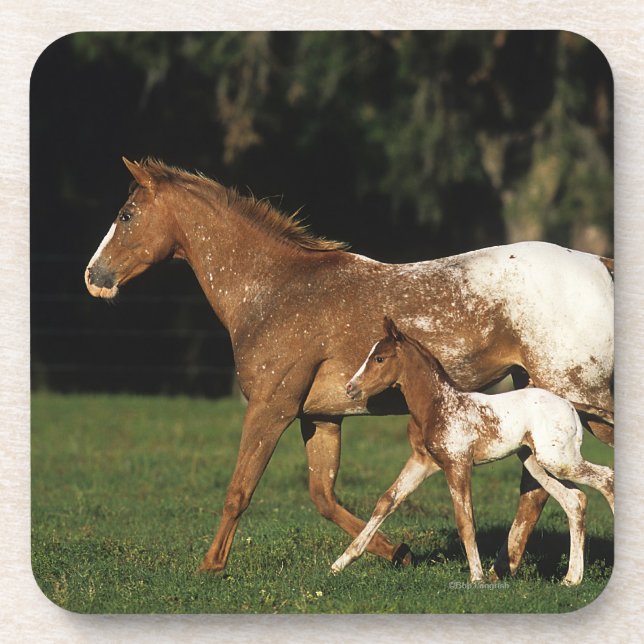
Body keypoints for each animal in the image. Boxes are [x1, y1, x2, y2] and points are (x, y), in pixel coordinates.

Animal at [332, 318, 614, 585]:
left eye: (379, 358)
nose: (350, 388)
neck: (438, 405)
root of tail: (569, 404)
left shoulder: (458, 464)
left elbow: (465, 522)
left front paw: (476, 577)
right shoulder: (422, 462)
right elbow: (386, 501)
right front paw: (341, 562)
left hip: (558, 460)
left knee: (606, 480)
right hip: (538, 463)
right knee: (575, 501)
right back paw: (571, 579)